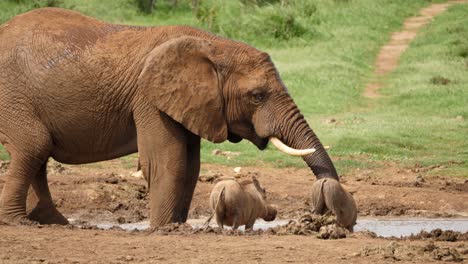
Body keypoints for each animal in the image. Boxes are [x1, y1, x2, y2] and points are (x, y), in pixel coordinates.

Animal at [0, 7, 354, 227]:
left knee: (38, 153)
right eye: (257, 96)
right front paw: (163, 229)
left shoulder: (193, 105)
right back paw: (19, 222)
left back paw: (53, 222)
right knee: (34, 146)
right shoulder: (148, 99)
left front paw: (176, 225)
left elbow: (191, 164)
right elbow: (168, 160)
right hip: (13, 97)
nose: (324, 209)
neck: (214, 46)